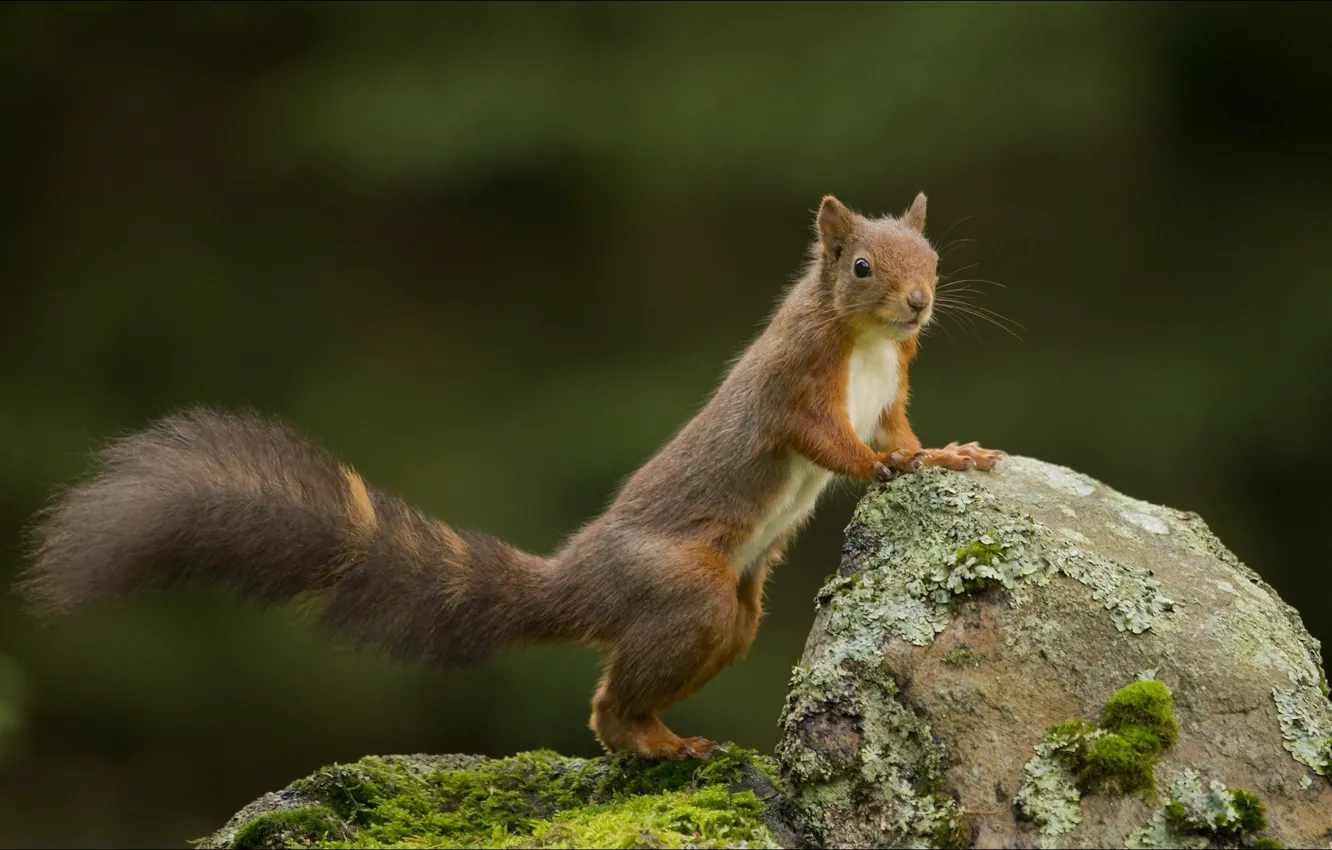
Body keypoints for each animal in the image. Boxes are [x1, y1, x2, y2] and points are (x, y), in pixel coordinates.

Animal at [18, 197, 1001, 762]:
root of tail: (579, 578)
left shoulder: (888, 390)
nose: (919, 304)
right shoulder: (796, 389)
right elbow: (831, 444)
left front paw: (943, 454)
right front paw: (888, 467)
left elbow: (901, 428)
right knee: (610, 701)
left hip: (735, 616)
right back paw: (656, 742)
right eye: (863, 267)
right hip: (684, 592)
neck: (865, 342)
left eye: (934, 260)